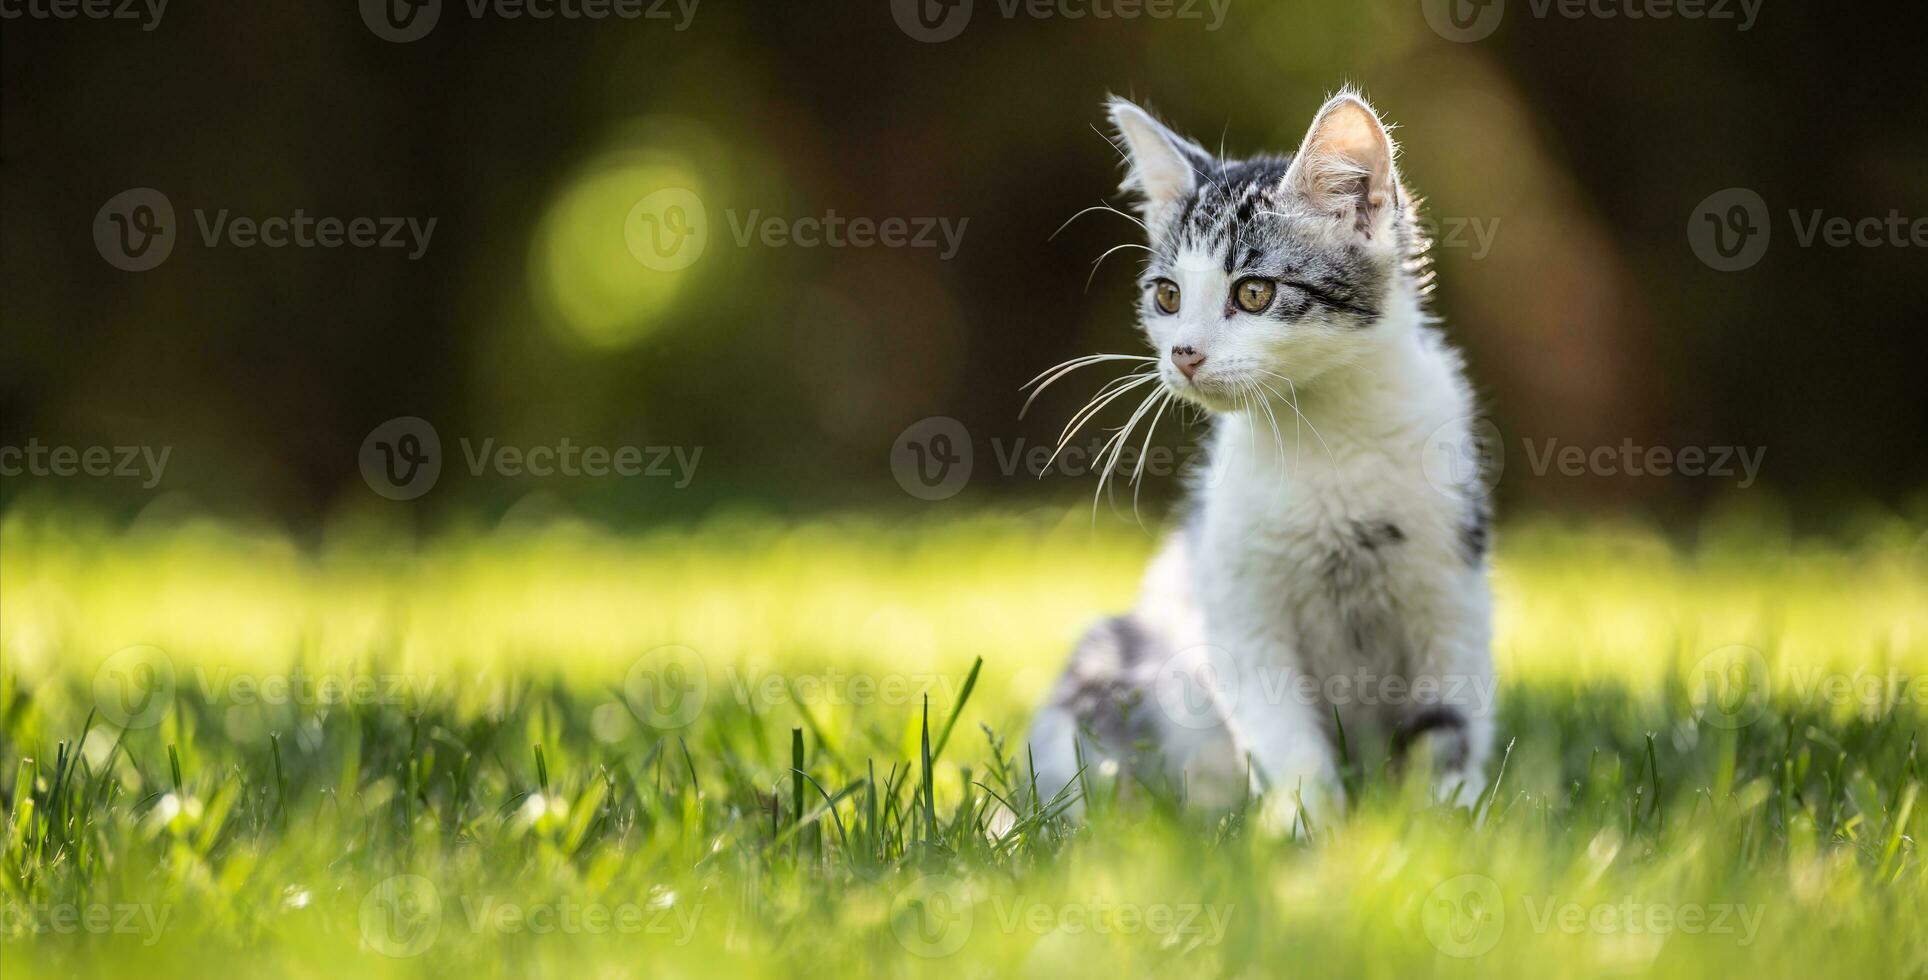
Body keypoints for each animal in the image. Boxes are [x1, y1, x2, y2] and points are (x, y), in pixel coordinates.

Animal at [1033, 90, 1496, 833]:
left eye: (1253, 292)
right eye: (1167, 296)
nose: (1184, 353)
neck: (1326, 435)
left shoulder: (1451, 585)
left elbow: (1449, 723)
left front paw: (1444, 824)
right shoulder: (1237, 600)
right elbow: (1282, 733)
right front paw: (1310, 829)